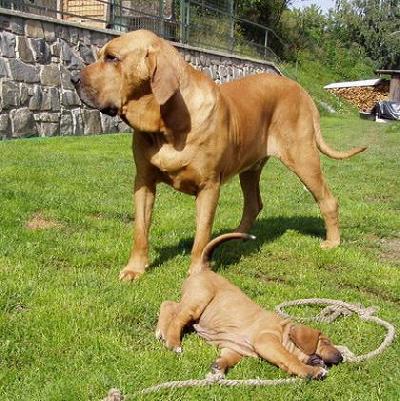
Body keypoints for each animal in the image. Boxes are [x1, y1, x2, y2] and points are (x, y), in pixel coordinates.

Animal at [73, 29, 366, 281]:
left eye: (112, 58)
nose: (73, 79)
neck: (167, 124)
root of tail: (301, 90)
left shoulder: (209, 186)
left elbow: (201, 235)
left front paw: (197, 272)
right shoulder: (143, 182)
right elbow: (140, 230)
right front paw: (135, 269)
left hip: (303, 158)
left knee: (328, 200)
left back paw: (332, 241)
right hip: (251, 168)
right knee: (254, 203)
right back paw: (236, 239)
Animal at [156, 232, 343, 379]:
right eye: (325, 341)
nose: (341, 358)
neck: (284, 331)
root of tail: (204, 268)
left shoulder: (233, 349)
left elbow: (227, 358)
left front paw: (218, 367)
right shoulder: (267, 341)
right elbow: (289, 358)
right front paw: (311, 371)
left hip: (193, 302)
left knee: (169, 305)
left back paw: (161, 331)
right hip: (199, 299)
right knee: (175, 315)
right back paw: (173, 342)